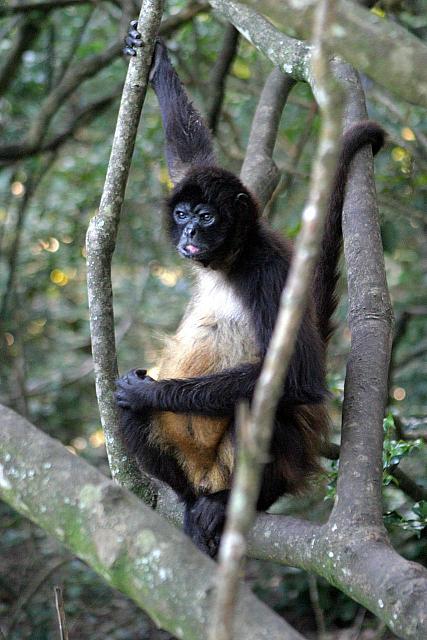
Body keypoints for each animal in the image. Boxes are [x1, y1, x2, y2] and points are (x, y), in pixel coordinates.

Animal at [115, 35, 385, 557]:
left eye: (206, 217)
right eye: (182, 214)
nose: (189, 235)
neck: (231, 263)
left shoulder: (268, 270)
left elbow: (299, 377)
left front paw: (150, 388)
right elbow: (189, 158)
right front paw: (156, 63)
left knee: (264, 406)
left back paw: (227, 505)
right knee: (129, 414)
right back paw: (192, 501)